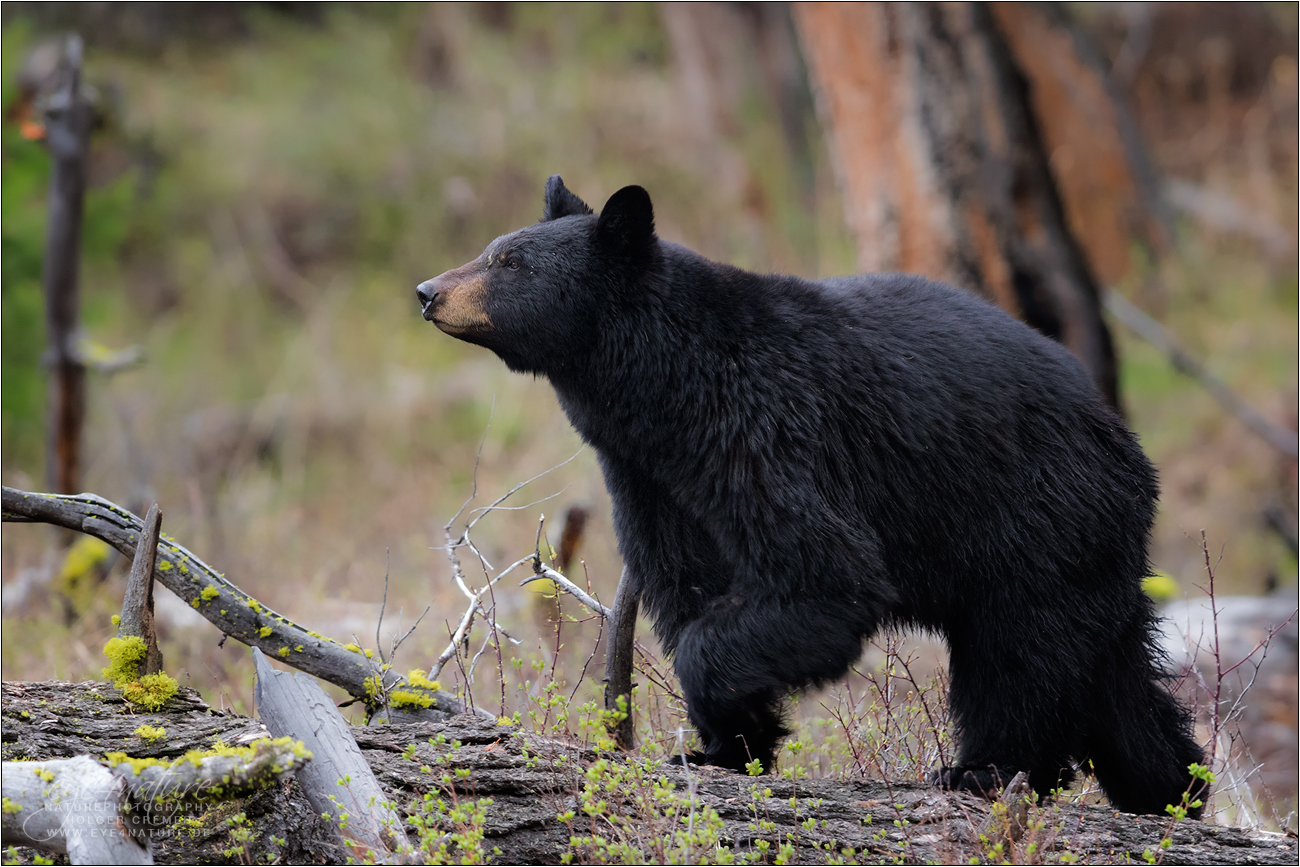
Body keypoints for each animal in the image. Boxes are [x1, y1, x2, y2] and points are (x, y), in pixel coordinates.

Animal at [418, 178, 1206, 821]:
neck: (670, 396)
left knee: (1021, 653)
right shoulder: (655, 481)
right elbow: (688, 582)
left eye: (510, 262)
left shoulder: (769, 433)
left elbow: (825, 579)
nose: (428, 291)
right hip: (1082, 548)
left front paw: (724, 722)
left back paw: (989, 770)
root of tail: (1124, 443)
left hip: (1037, 516)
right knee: (1112, 677)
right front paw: (722, 748)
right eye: (491, 250)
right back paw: (1176, 787)